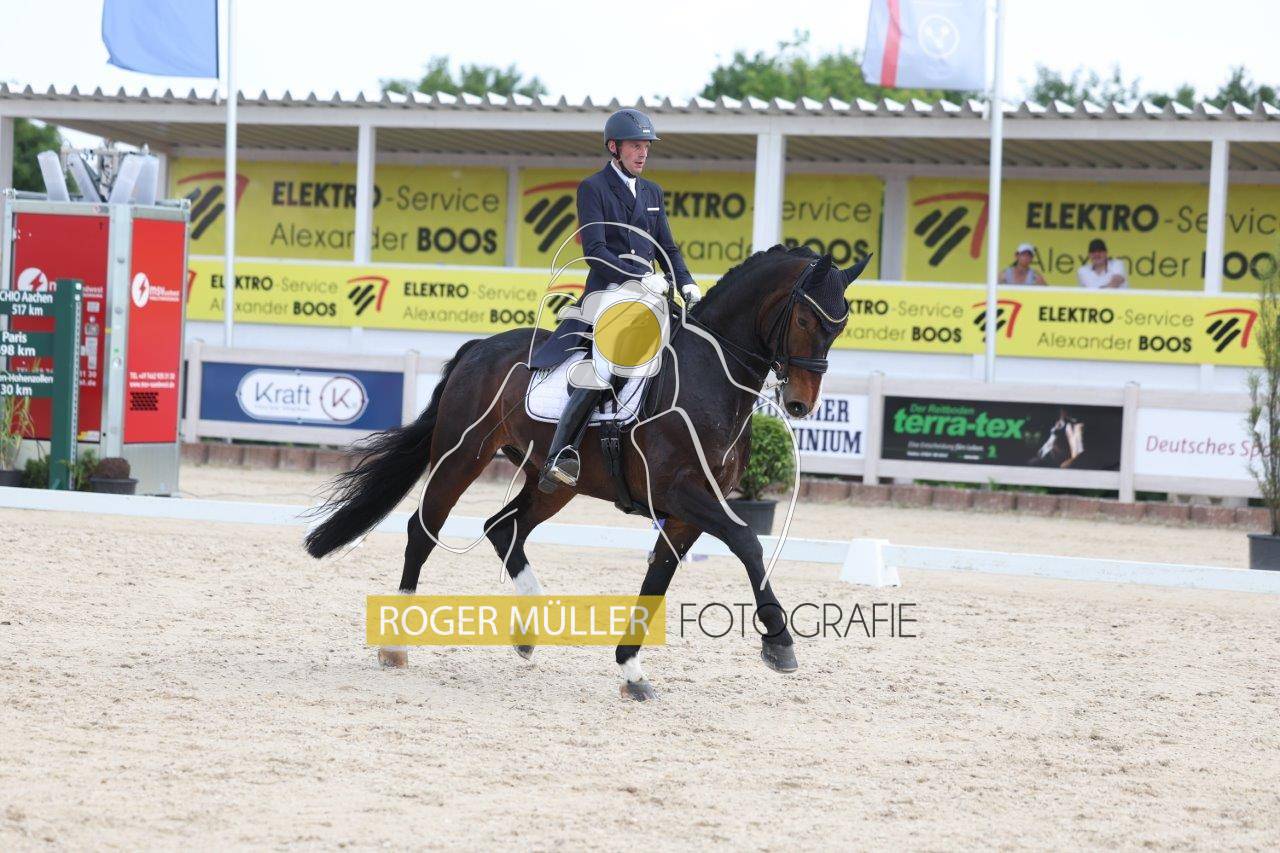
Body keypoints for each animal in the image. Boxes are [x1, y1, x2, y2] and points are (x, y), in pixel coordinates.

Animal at [304, 245, 868, 700]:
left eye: (839, 327)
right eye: (805, 321)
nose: (799, 404)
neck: (712, 375)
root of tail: (477, 348)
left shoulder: (686, 512)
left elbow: (658, 579)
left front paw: (632, 671)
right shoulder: (683, 493)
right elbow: (748, 542)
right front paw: (779, 644)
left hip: (552, 482)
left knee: (503, 526)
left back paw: (527, 633)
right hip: (461, 457)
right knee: (424, 530)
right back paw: (395, 648)